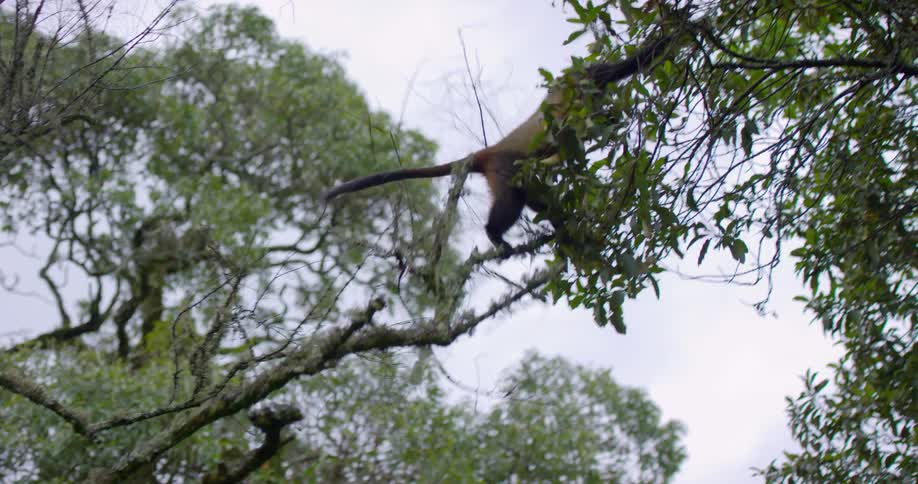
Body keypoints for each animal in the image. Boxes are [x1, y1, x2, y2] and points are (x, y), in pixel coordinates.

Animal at [322, 33, 677, 249]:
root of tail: (488, 151)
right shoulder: (588, 78)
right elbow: (628, 65)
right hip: (505, 167)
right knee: (511, 200)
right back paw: (494, 233)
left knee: (535, 195)